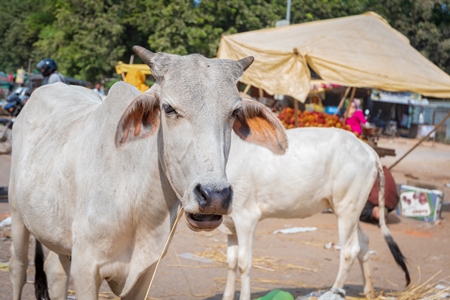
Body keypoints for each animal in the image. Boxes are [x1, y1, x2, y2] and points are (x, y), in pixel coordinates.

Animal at [7, 45, 288, 298]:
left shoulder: (144, 274)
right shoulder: (86, 269)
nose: (214, 196)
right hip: (18, 216)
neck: (136, 200)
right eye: (169, 108)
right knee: (18, 269)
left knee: (54, 272)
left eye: (235, 112)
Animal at [221, 128, 412, 300]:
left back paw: (335, 292)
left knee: (349, 251)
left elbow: (243, 263)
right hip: (352, 210)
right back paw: (369, 291)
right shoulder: (231, 225)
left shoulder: (246, 218)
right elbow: (231, 262)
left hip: (346, 209)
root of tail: (369, 151)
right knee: (363, 243)